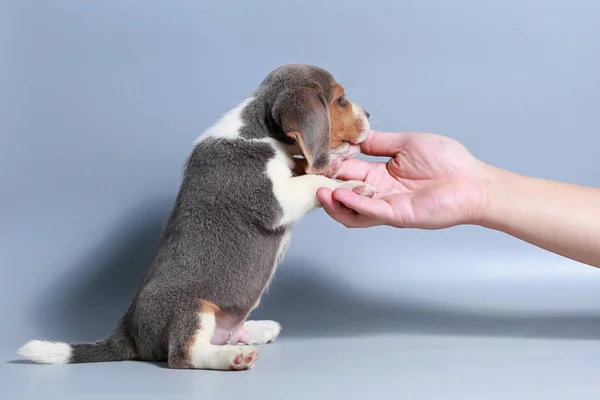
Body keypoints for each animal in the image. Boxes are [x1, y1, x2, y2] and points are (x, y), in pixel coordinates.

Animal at [17, 63, 376, 372]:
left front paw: (336, 167)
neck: (259, 130)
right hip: (190, 308)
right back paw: (234, 357)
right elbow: (312, 182)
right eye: (340, 101)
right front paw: (353, 185)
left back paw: (256, 330)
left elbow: (307, 167)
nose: (370, 114)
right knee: (184, 355)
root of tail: (126, 331)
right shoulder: (274, 200)